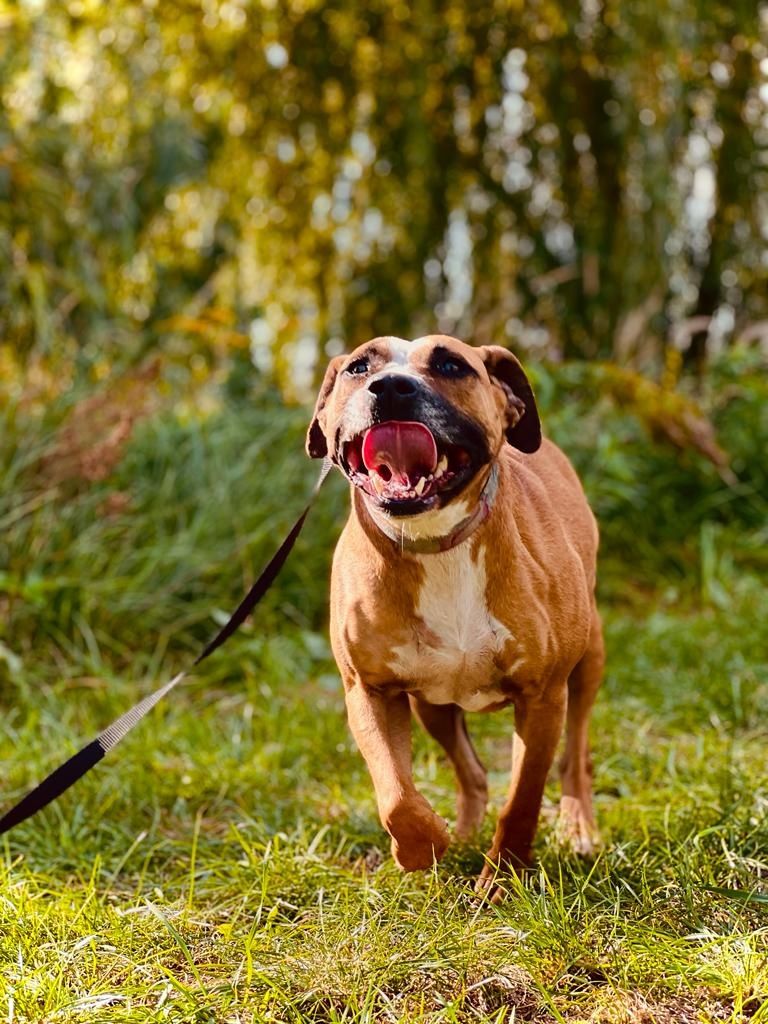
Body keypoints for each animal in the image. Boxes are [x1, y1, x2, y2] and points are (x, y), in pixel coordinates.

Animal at [305, 335, 602, 897]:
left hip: (587, 667)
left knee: (574, 757)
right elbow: (396, 794)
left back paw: (579, 828)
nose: (390, 387)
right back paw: (462, 834)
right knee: (472, 773)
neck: (434, 541)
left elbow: (523, 798)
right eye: (359, 366)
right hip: (434, 707)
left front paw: (503, 878)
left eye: (450, 364)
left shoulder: (542, 697)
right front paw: (423, 846)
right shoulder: (369, 691)